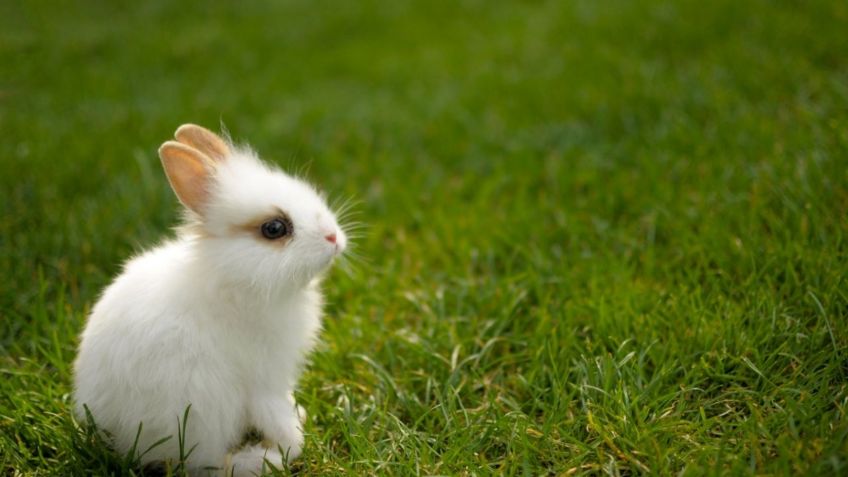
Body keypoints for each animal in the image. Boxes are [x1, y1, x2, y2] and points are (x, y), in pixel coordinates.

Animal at [73, 124, 348, 474]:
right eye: (274, 228)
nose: (334, 237)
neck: (233, 281)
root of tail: (116, 435)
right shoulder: (262, 382)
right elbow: (280, 424)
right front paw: (291, 443)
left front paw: (299, 412)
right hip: (205, 410)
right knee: (209, 464)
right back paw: (259, 461)